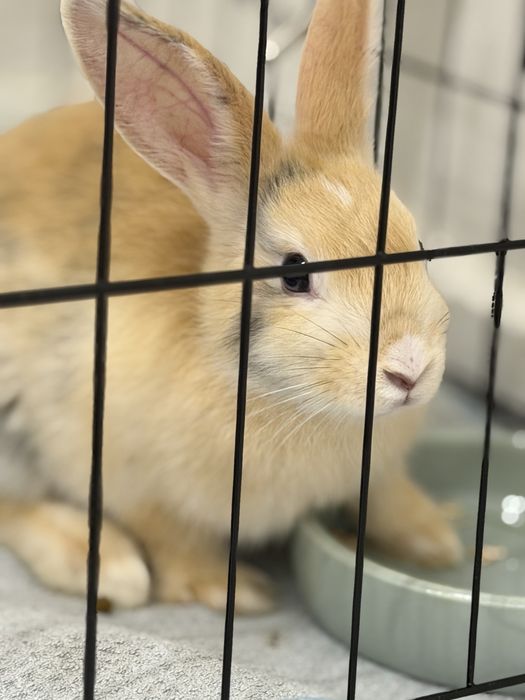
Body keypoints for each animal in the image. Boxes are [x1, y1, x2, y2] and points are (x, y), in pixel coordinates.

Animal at [0, 0, 462, 613]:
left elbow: (390, 500)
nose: (409, 368)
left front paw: (438, 541)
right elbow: (173, 540)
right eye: (294, 273)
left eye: (418, 246)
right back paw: (104, 564)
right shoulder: (133, 481)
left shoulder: (380, 474)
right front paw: (235, 592)